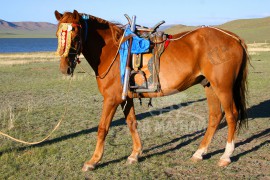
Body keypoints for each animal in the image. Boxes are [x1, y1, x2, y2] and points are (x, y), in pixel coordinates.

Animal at [54, 10, 249, 172]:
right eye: (57, 34)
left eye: (75, 35)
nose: (64, 68)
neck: (112, 50)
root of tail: (233, 38)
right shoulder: (126, 98)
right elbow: (132, 123)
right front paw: (135, 154)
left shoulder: (111, 99)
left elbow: (103, 128)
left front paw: (93, 161)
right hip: (209, 86)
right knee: (215, 116)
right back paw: (199, 153)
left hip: (223, 87)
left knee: (231, 115)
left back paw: (225, 156)